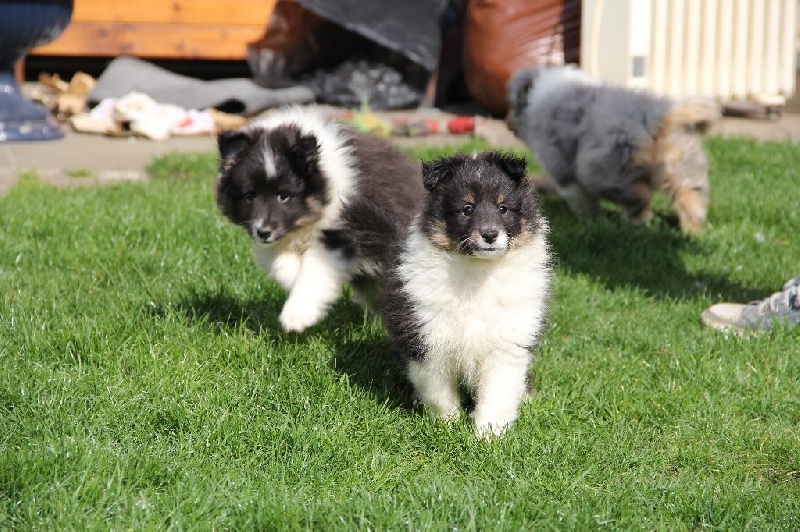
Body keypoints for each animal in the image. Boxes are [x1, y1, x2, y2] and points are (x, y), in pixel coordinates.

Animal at [212, 107, 424, 332]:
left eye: (283, 196)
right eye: (250, 195)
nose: (263, 232)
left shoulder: (342, 232)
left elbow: (314, 269)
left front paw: (296, 316)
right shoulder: (278, 241)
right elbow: (283, 264)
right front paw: (295, 283)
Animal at [380, 151, 552, 436]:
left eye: (503, 208)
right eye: (467, 209)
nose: (490, 234)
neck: (477, 272)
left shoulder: (507, 341)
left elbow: (497, 393)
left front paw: (489, 435)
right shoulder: (429, 338)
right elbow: (438, 392)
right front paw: (447, 425)